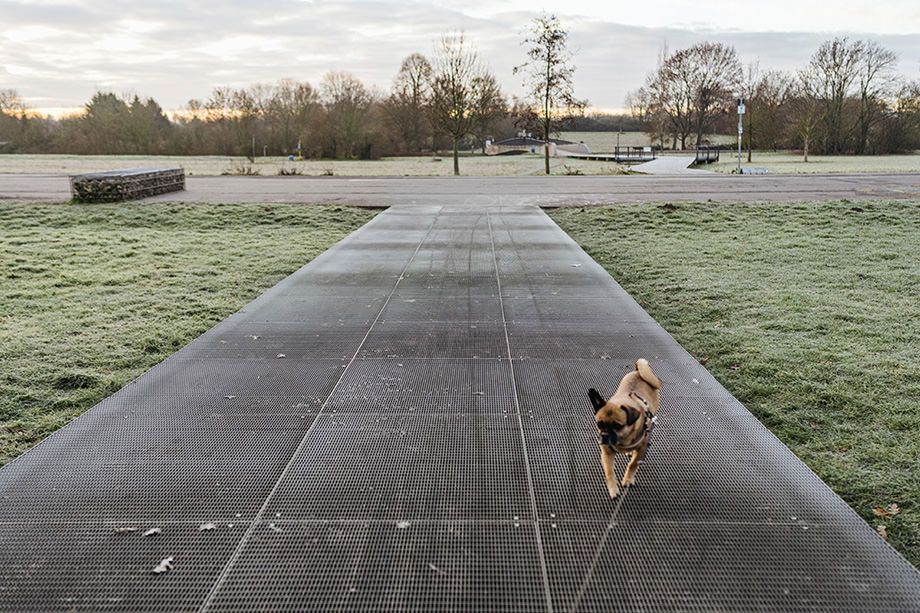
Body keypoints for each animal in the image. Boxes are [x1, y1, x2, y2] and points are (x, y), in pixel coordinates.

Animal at [588, 358, 660, 498]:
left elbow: (632, 465)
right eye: (599, 424)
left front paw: (628, 479)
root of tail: (637, 371)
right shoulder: (607, 453)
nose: (604, 435)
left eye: (617, 426)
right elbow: (609, 472)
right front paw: (613, 488)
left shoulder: (642, 449)